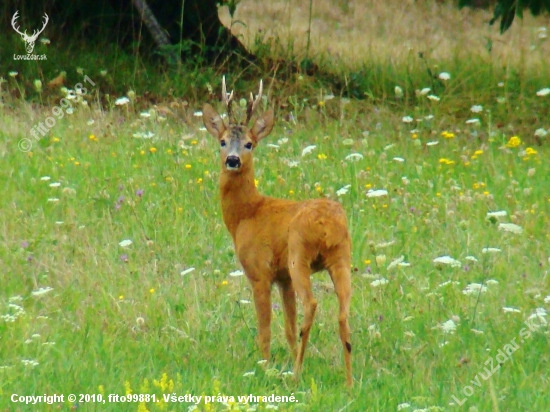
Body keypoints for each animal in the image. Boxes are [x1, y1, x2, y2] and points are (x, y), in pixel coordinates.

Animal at [203, 78, 354, 386]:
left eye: (249, 143)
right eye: (222, 141)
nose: (233, 160)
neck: (247, 214)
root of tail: (326, 224)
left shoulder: (260, 271)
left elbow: (265, 329)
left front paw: (264, 366)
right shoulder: (283, 278)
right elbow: (288, 327)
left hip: (300, 254)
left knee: (312, 304)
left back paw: (295, 375)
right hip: (341, 256)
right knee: (343, 312)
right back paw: (347, 381)